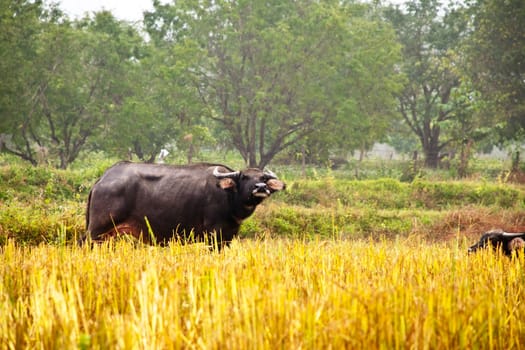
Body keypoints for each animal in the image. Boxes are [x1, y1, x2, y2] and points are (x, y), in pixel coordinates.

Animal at [81, 162, 286, 249]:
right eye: (244, 177)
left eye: (263, 178)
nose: (260, 188)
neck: (229, 196)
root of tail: (102, 180)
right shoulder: (213, 234)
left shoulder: (228, 236)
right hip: (96, 231)